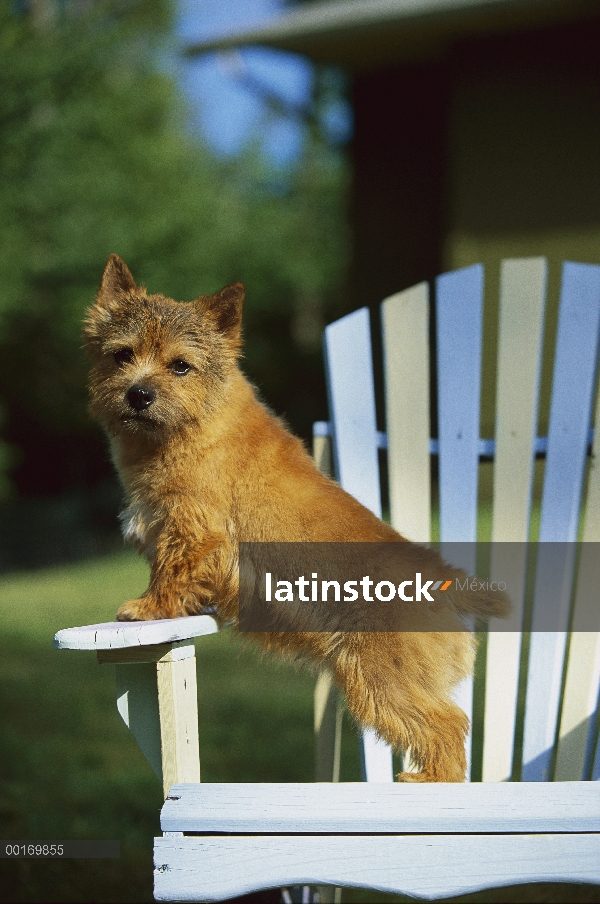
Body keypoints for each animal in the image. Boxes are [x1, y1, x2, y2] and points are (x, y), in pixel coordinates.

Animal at [84, 254, 506, 784]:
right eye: (122, 355)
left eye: (180, 365)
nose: (138, 394)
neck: (191, 428)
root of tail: (446, 580)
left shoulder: (192, 528)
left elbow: (169, 571)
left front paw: (147, 607)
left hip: (380, 678)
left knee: (447, 725)